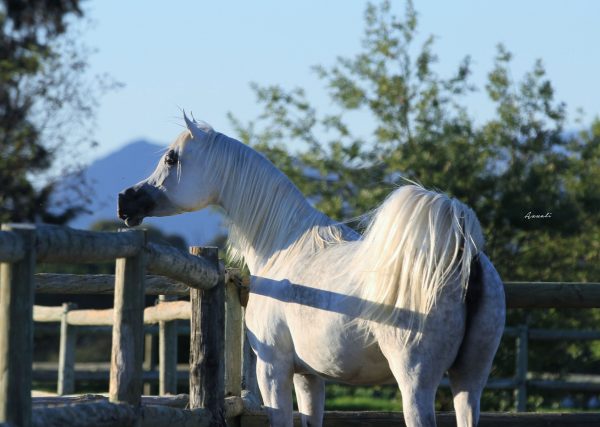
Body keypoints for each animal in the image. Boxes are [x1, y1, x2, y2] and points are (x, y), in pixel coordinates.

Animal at [118, 113, 506, 427]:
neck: (285, 246)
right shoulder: (309, 376)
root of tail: (463, 255)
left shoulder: (273, 369)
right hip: (470, 381)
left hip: (415, 383)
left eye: (172, 158)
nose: (126, 200)